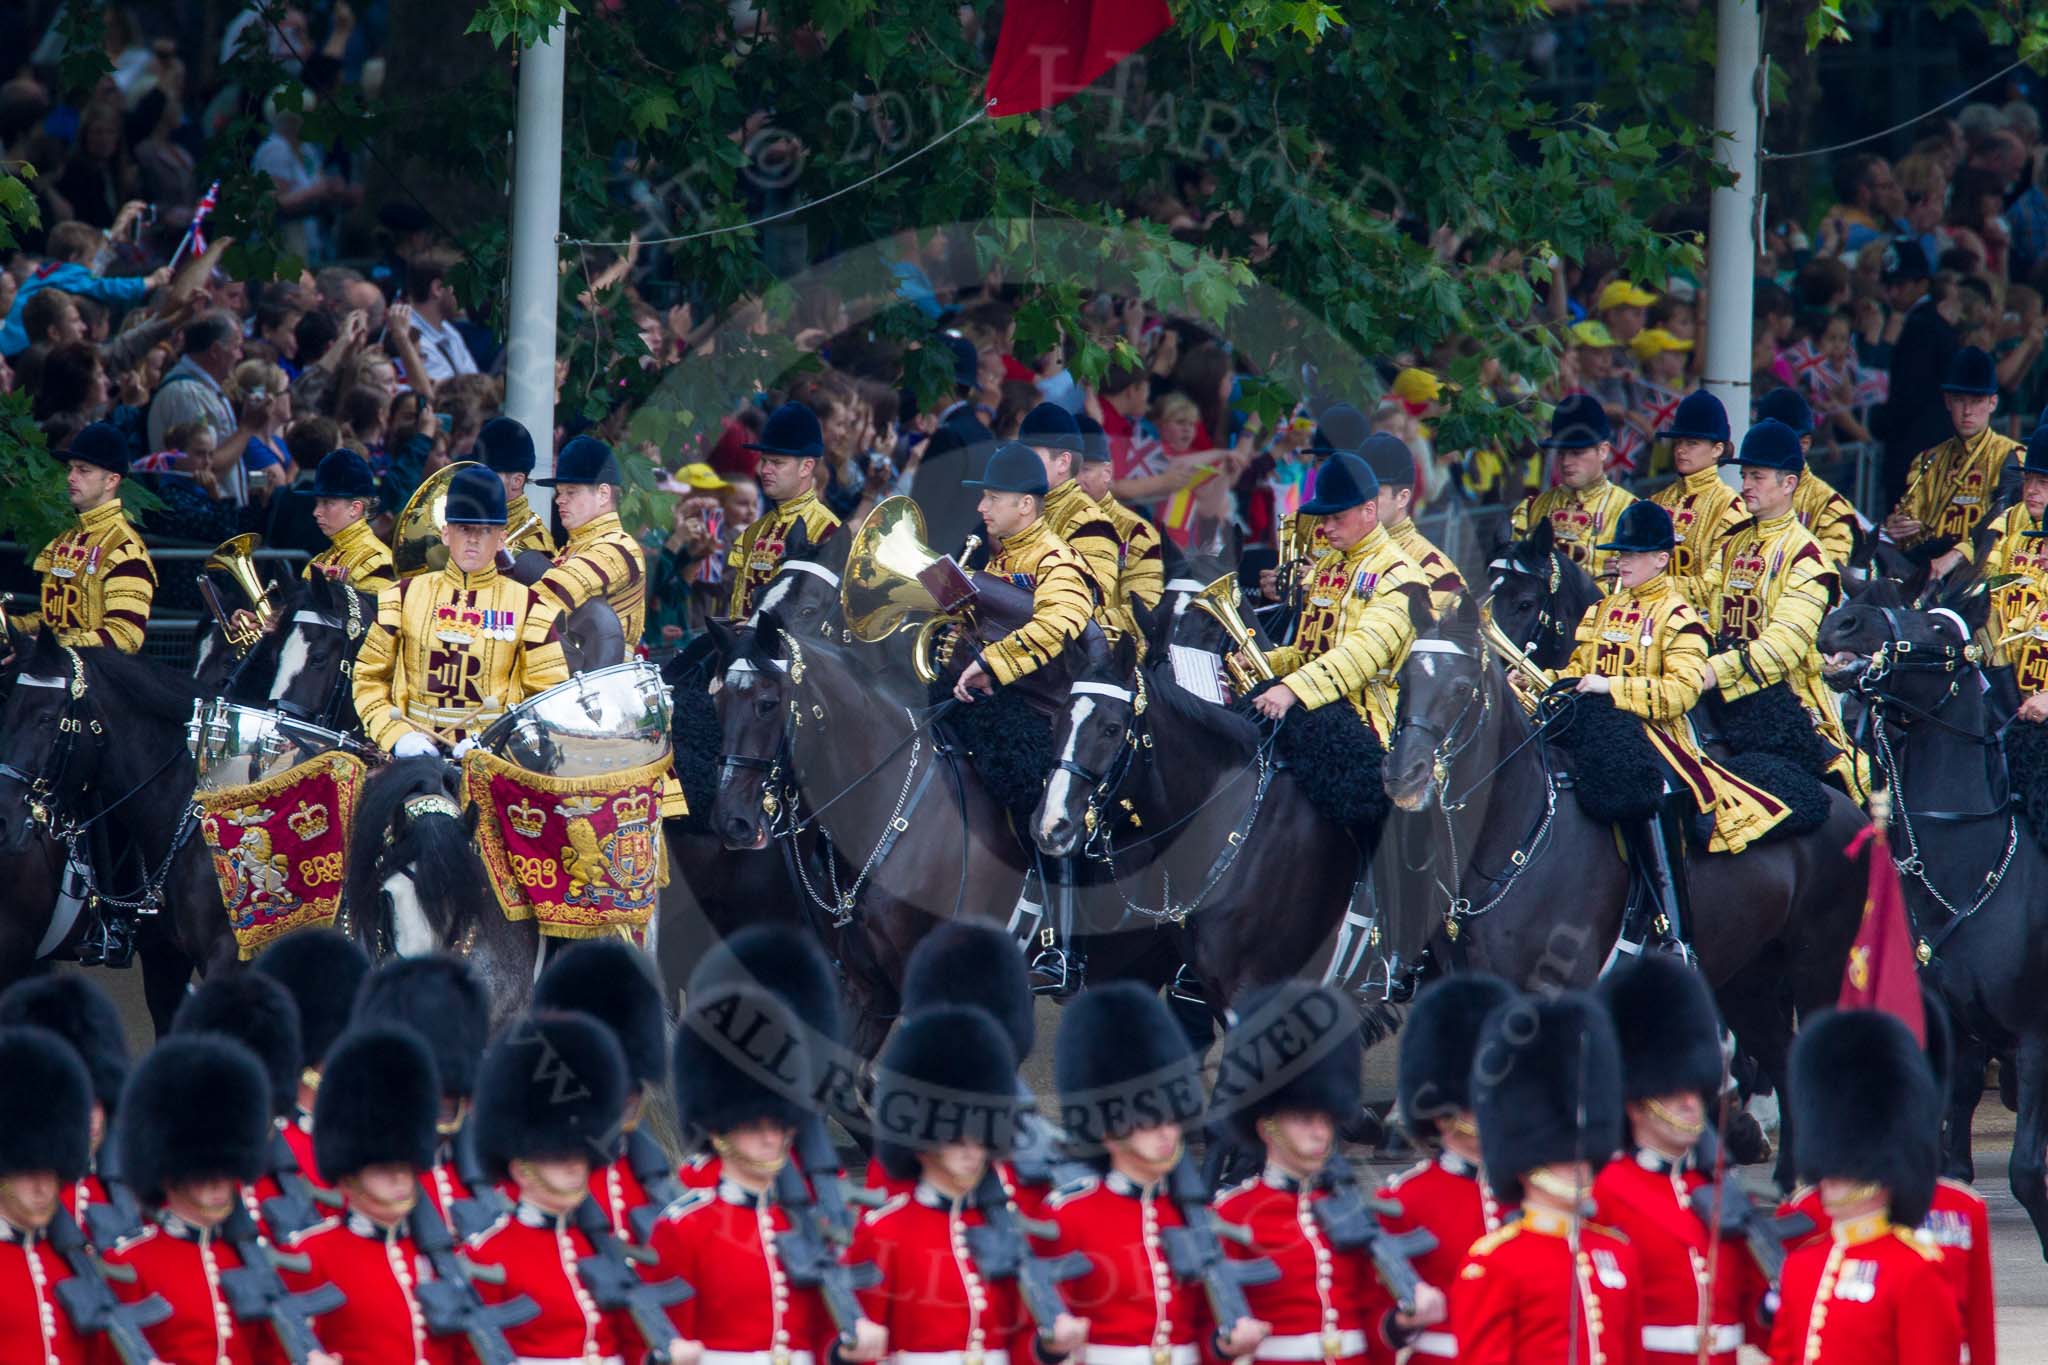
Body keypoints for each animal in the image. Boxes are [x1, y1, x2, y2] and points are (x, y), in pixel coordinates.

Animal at [1818, 581, 2048, 1252]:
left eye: (1942, 632)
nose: (1843, 621)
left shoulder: (2035, 1036)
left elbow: (2027, 1172)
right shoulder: (1953, 1031)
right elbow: (1948, 1166)